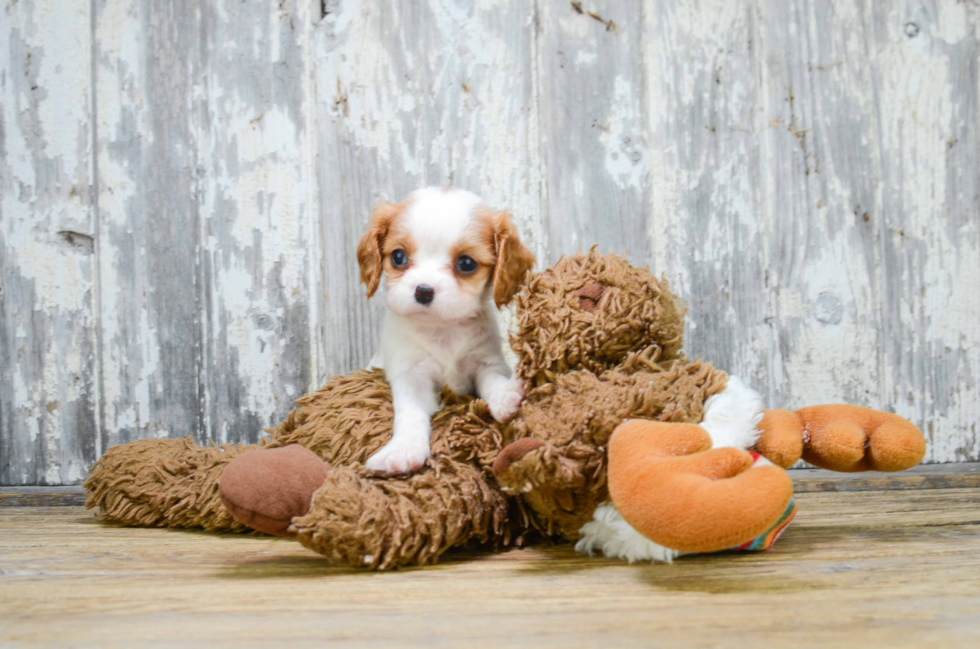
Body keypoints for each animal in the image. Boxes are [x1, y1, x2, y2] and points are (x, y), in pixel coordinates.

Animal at [356, 185, 536, 474]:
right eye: (398, 257)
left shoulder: (485, 361)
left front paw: (506, 396)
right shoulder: (410, 374)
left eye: (466, 263)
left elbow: (493, 381)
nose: (423, 290)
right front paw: (402, 450)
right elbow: (410, 413)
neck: (441, 330)